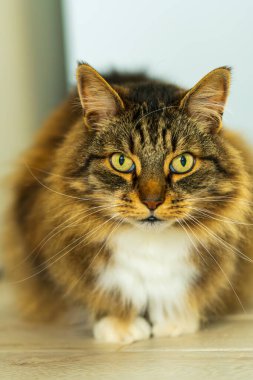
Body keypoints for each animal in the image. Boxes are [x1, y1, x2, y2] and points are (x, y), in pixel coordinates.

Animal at [4, 63, 253, 344]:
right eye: (121, 161)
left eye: (183, 162)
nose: (152, 202)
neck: (150, 247)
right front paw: (120, 326)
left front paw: (175, 320)